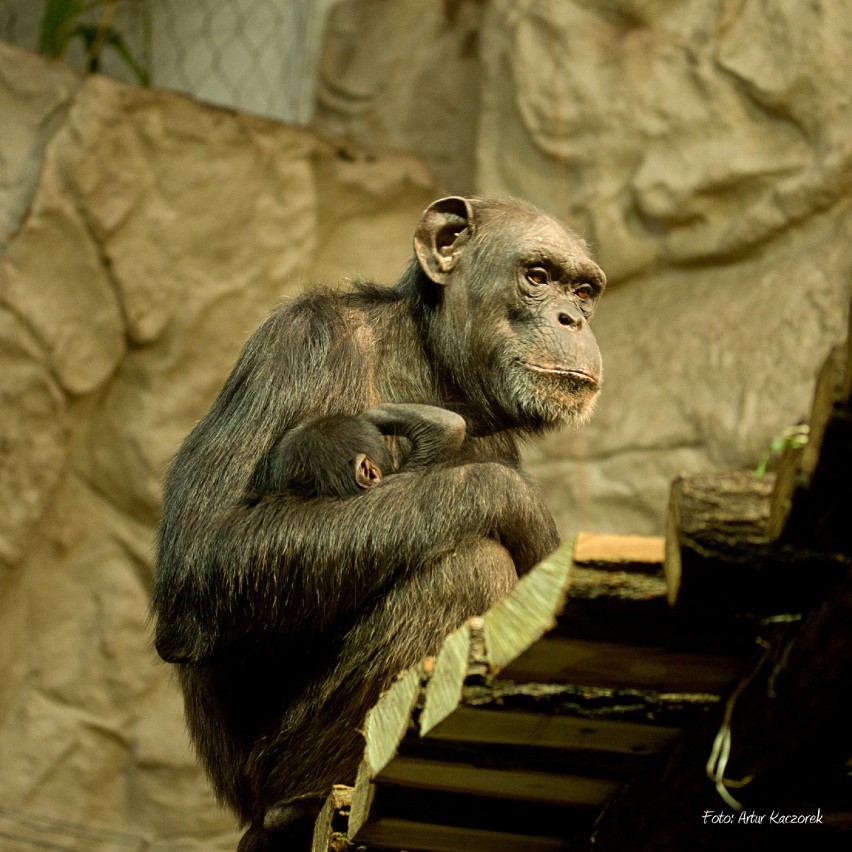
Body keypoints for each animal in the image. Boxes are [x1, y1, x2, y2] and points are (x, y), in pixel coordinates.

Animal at [153, 196, 604, 848]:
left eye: (585, 290)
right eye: (538, 276)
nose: (572, 318)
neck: (428, 360)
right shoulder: (297, 341)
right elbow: (203, 551)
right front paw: (520, 508)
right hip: (268, 772)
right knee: (467, 569)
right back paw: (302, 800)